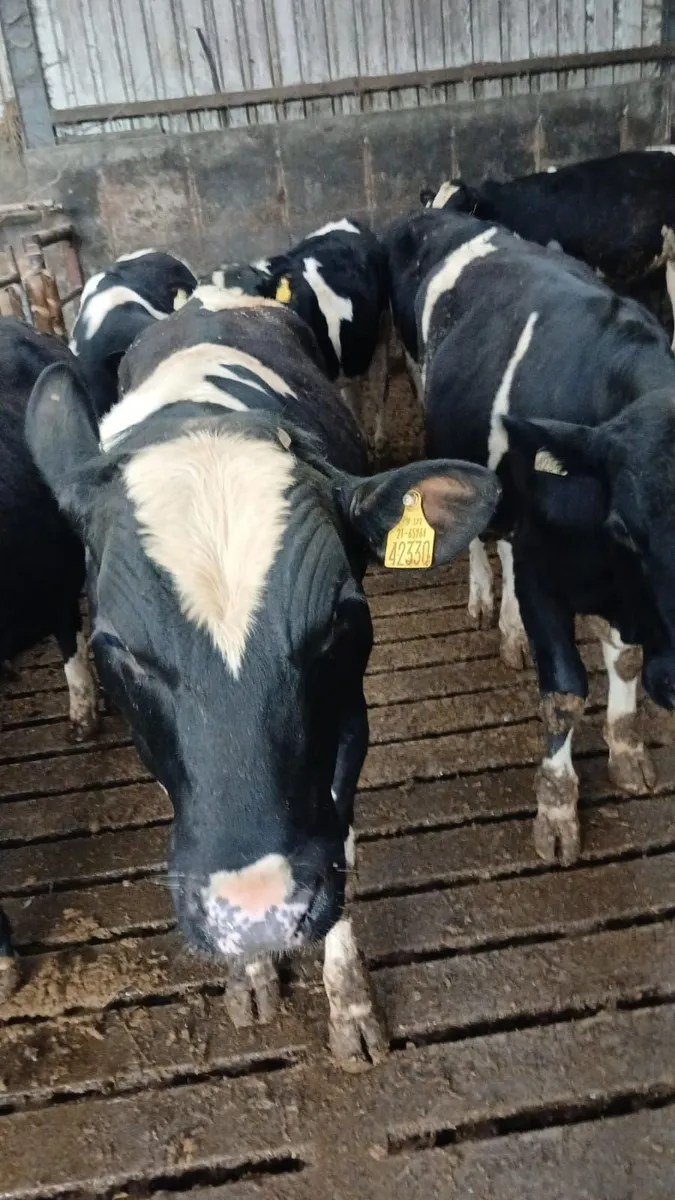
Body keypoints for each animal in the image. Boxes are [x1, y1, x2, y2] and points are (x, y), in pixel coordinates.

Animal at [24, 283, 499, 1065]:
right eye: (115, 645)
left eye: (340, 615)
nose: (259, 912)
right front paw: (249, 973)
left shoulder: (349, 721)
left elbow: (339, 841)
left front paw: (350, 1009)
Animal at [383, 205, 675, 868]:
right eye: (625, 527)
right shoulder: (550, 578)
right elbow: (565, 691)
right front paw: (558, 808)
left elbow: (625, 658)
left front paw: (626, 749)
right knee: (482, 538)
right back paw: (485, 603)